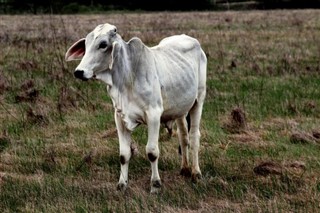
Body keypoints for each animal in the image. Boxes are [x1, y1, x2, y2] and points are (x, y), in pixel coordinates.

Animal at [65, 23, 208, 193]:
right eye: (86, 44)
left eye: (103, 44)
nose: (79, 72)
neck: (127, 77)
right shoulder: (119, 117)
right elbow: (124, 154)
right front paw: (122, 184)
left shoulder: (154, 115)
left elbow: (152, 152)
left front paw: (155, 185)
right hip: (180, 109)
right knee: (183, 136)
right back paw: (184, 169)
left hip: (198, 100)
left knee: (194, 137)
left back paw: (196, 173)